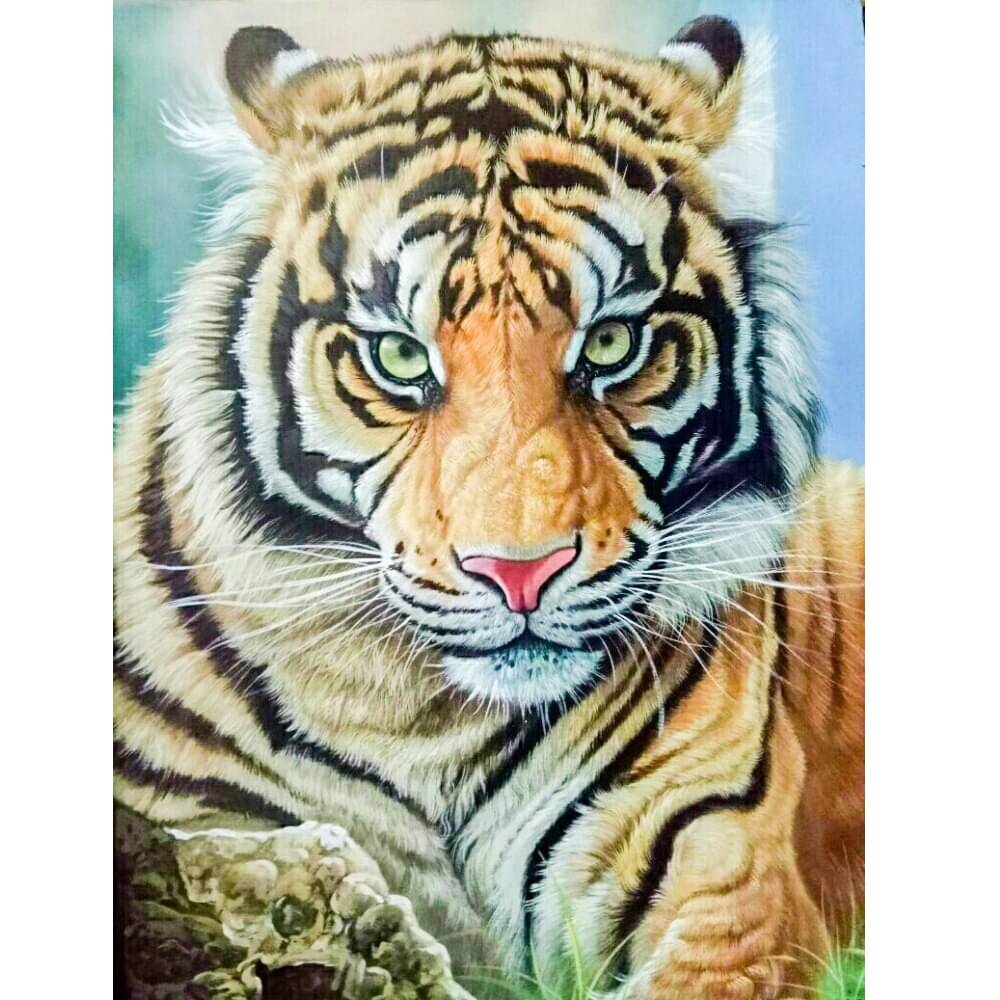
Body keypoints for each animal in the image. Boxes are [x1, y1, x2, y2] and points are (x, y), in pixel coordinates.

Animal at [113, 15, 864, 999]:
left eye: (611, 343)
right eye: (399, 356)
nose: (521, 573)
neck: (425, 723)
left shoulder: (728, 884)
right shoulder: (195, 814)